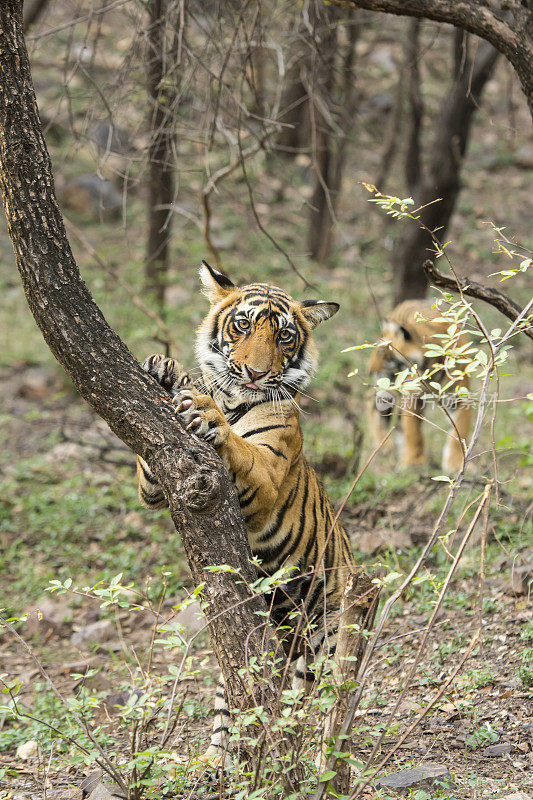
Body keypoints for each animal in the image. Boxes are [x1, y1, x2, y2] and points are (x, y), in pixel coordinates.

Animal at [137, 260, 356, 764]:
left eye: (285, 336)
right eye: (242, 325)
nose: (256, 373)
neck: (236, 399)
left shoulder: (268, 474)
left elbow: (240, 447)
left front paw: (205, 411)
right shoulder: (159, 482)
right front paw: (164, 372)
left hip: (330, 628)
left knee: (324, 700)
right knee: (233, 700)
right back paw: (217, 761)